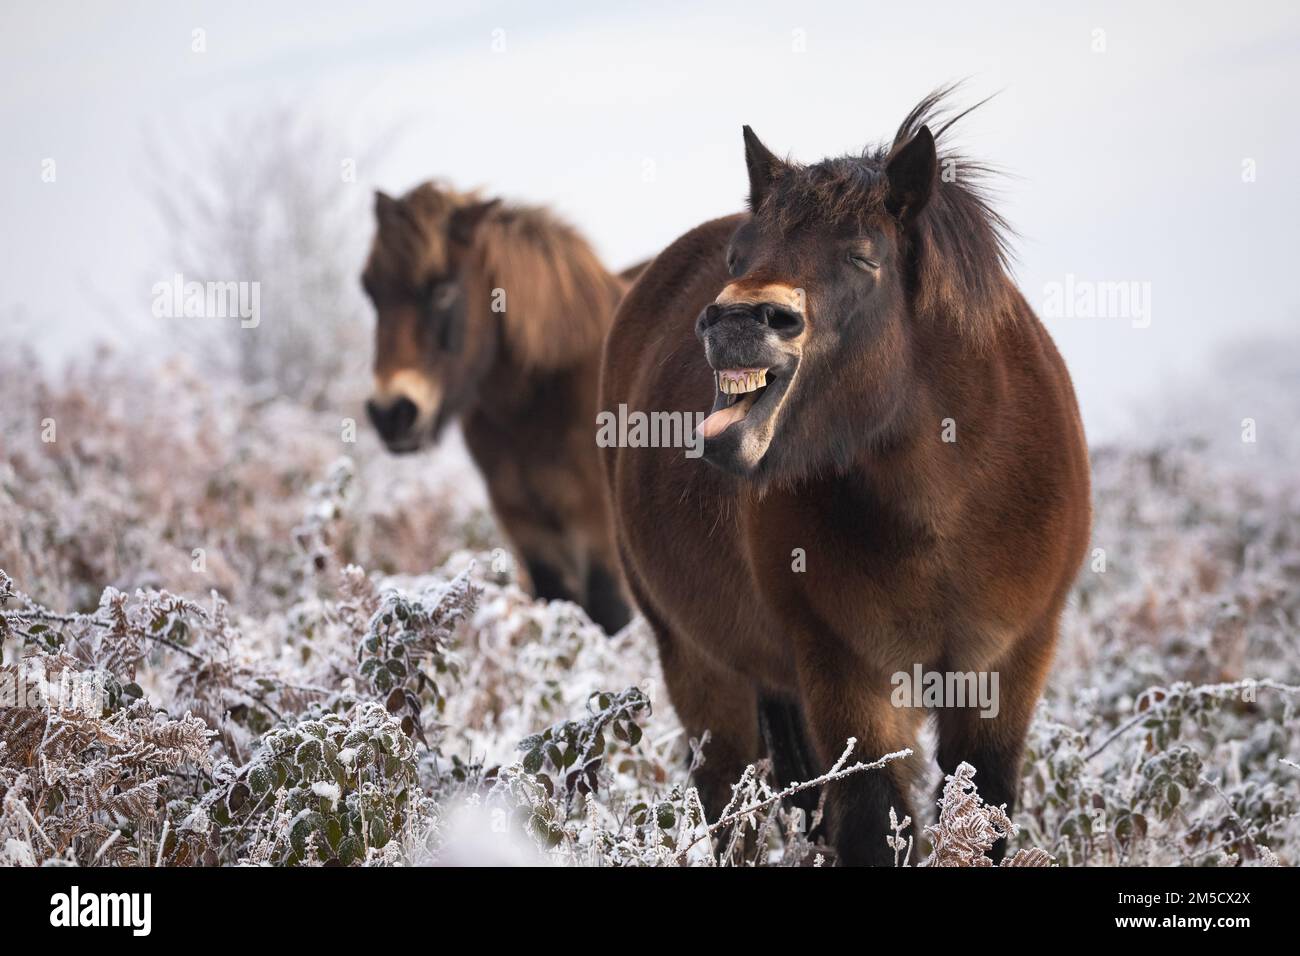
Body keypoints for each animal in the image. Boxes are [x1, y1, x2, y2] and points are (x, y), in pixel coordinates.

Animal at [600, 91, 1091, 864]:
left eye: (864, 256)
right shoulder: (851, 681)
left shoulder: (1007, 669)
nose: (739, 321)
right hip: (702, 669)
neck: (945, 507)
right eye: (739, 255)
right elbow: (868, 823)